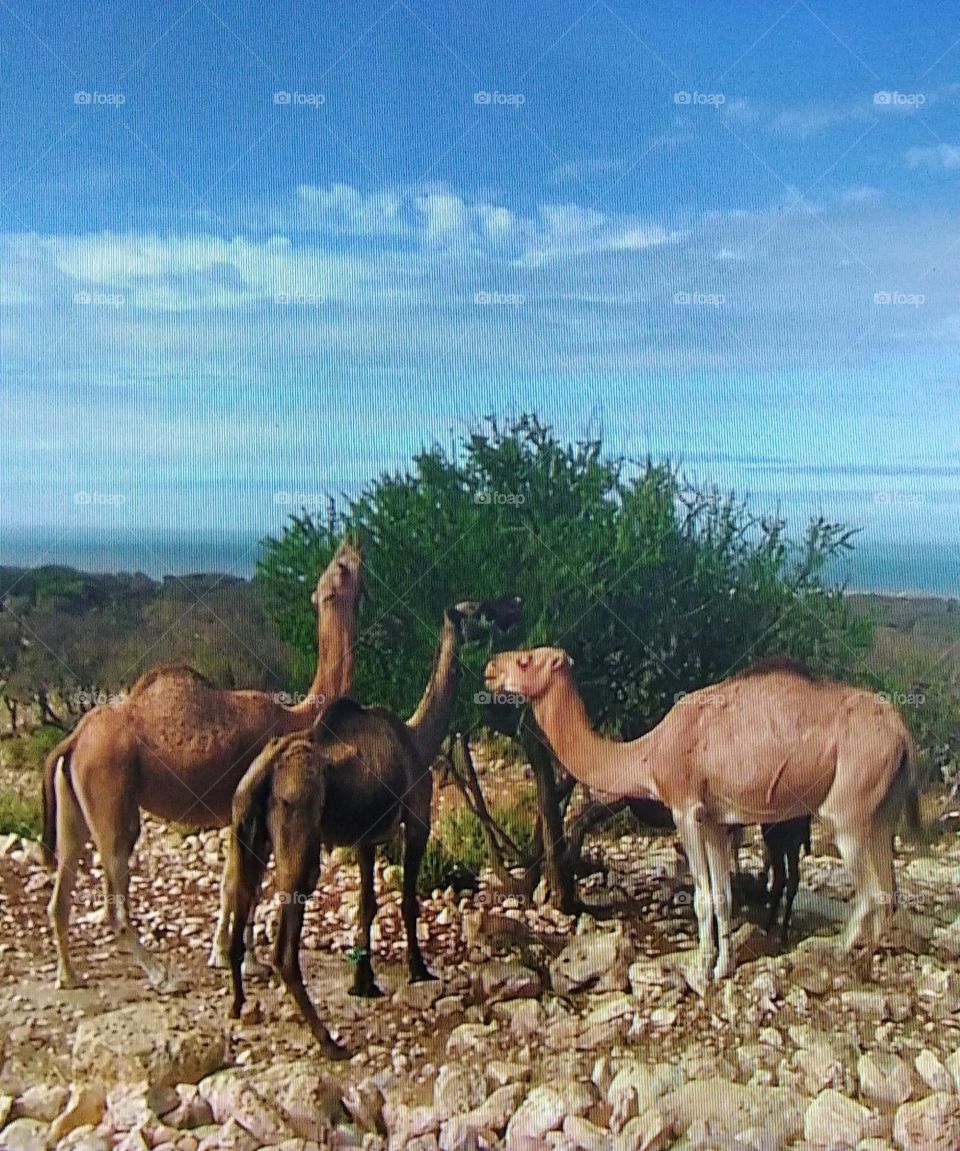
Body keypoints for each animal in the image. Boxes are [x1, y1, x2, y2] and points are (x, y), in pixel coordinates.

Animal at [41, 540, 362, 991]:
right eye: (343, 566)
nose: (352, 542)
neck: (295, 718)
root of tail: (72, 740)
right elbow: (241, 884)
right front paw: (240, 960)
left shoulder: (238, 813)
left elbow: (236, 883)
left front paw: (230, 956)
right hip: (111, 802)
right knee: (114, 895)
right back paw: (162, 976)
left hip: (73, 809)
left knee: (61, 889)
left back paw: (69, 975)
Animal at [223, 597, 521, 1057]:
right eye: (481, 610)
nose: (514, 607)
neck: (419, 740)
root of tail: (265, 775)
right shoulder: (416, 819)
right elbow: (408, 901)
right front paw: (420, 970)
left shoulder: (366, 837)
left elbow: (367, 904)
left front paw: (364, 982)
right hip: (299, 833)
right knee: (285, 946)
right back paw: (329, 1041)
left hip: (247, 830)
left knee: (240, 903)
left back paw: (239, 1004)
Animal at [485, 649, 922, 983]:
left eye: (525, 659)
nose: (490, 668)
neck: (647, 753)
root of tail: (900, 729)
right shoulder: (715, 820)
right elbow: (724, 897)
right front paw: (722, 967)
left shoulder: (685, 809)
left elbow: (701, 897)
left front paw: (699, 970)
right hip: (883, 809)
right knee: (888, 884)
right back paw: (871, 956)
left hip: (849, 806)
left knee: (869, 889)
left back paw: (840, 954)